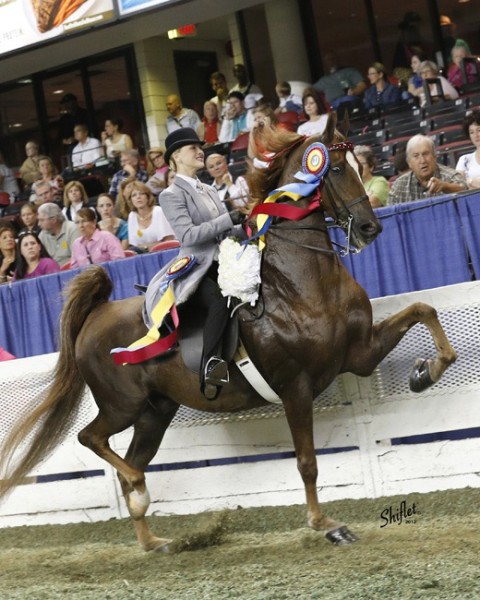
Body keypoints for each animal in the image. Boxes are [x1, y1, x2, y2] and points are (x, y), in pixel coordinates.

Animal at [0, 115, 458, 552]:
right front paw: (326, 525)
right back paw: (140, 493)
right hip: (122, 405)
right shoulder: (295, 386)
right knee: (92, 438)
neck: (303, 280)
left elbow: (424, 310)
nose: (369, 229)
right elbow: (307, 462)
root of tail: (98, 313)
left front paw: (425, 373)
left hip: (154, 412)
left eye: (363, 168)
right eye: (337, 169)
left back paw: (154, 540)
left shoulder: (358, 354)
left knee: (130, 460)